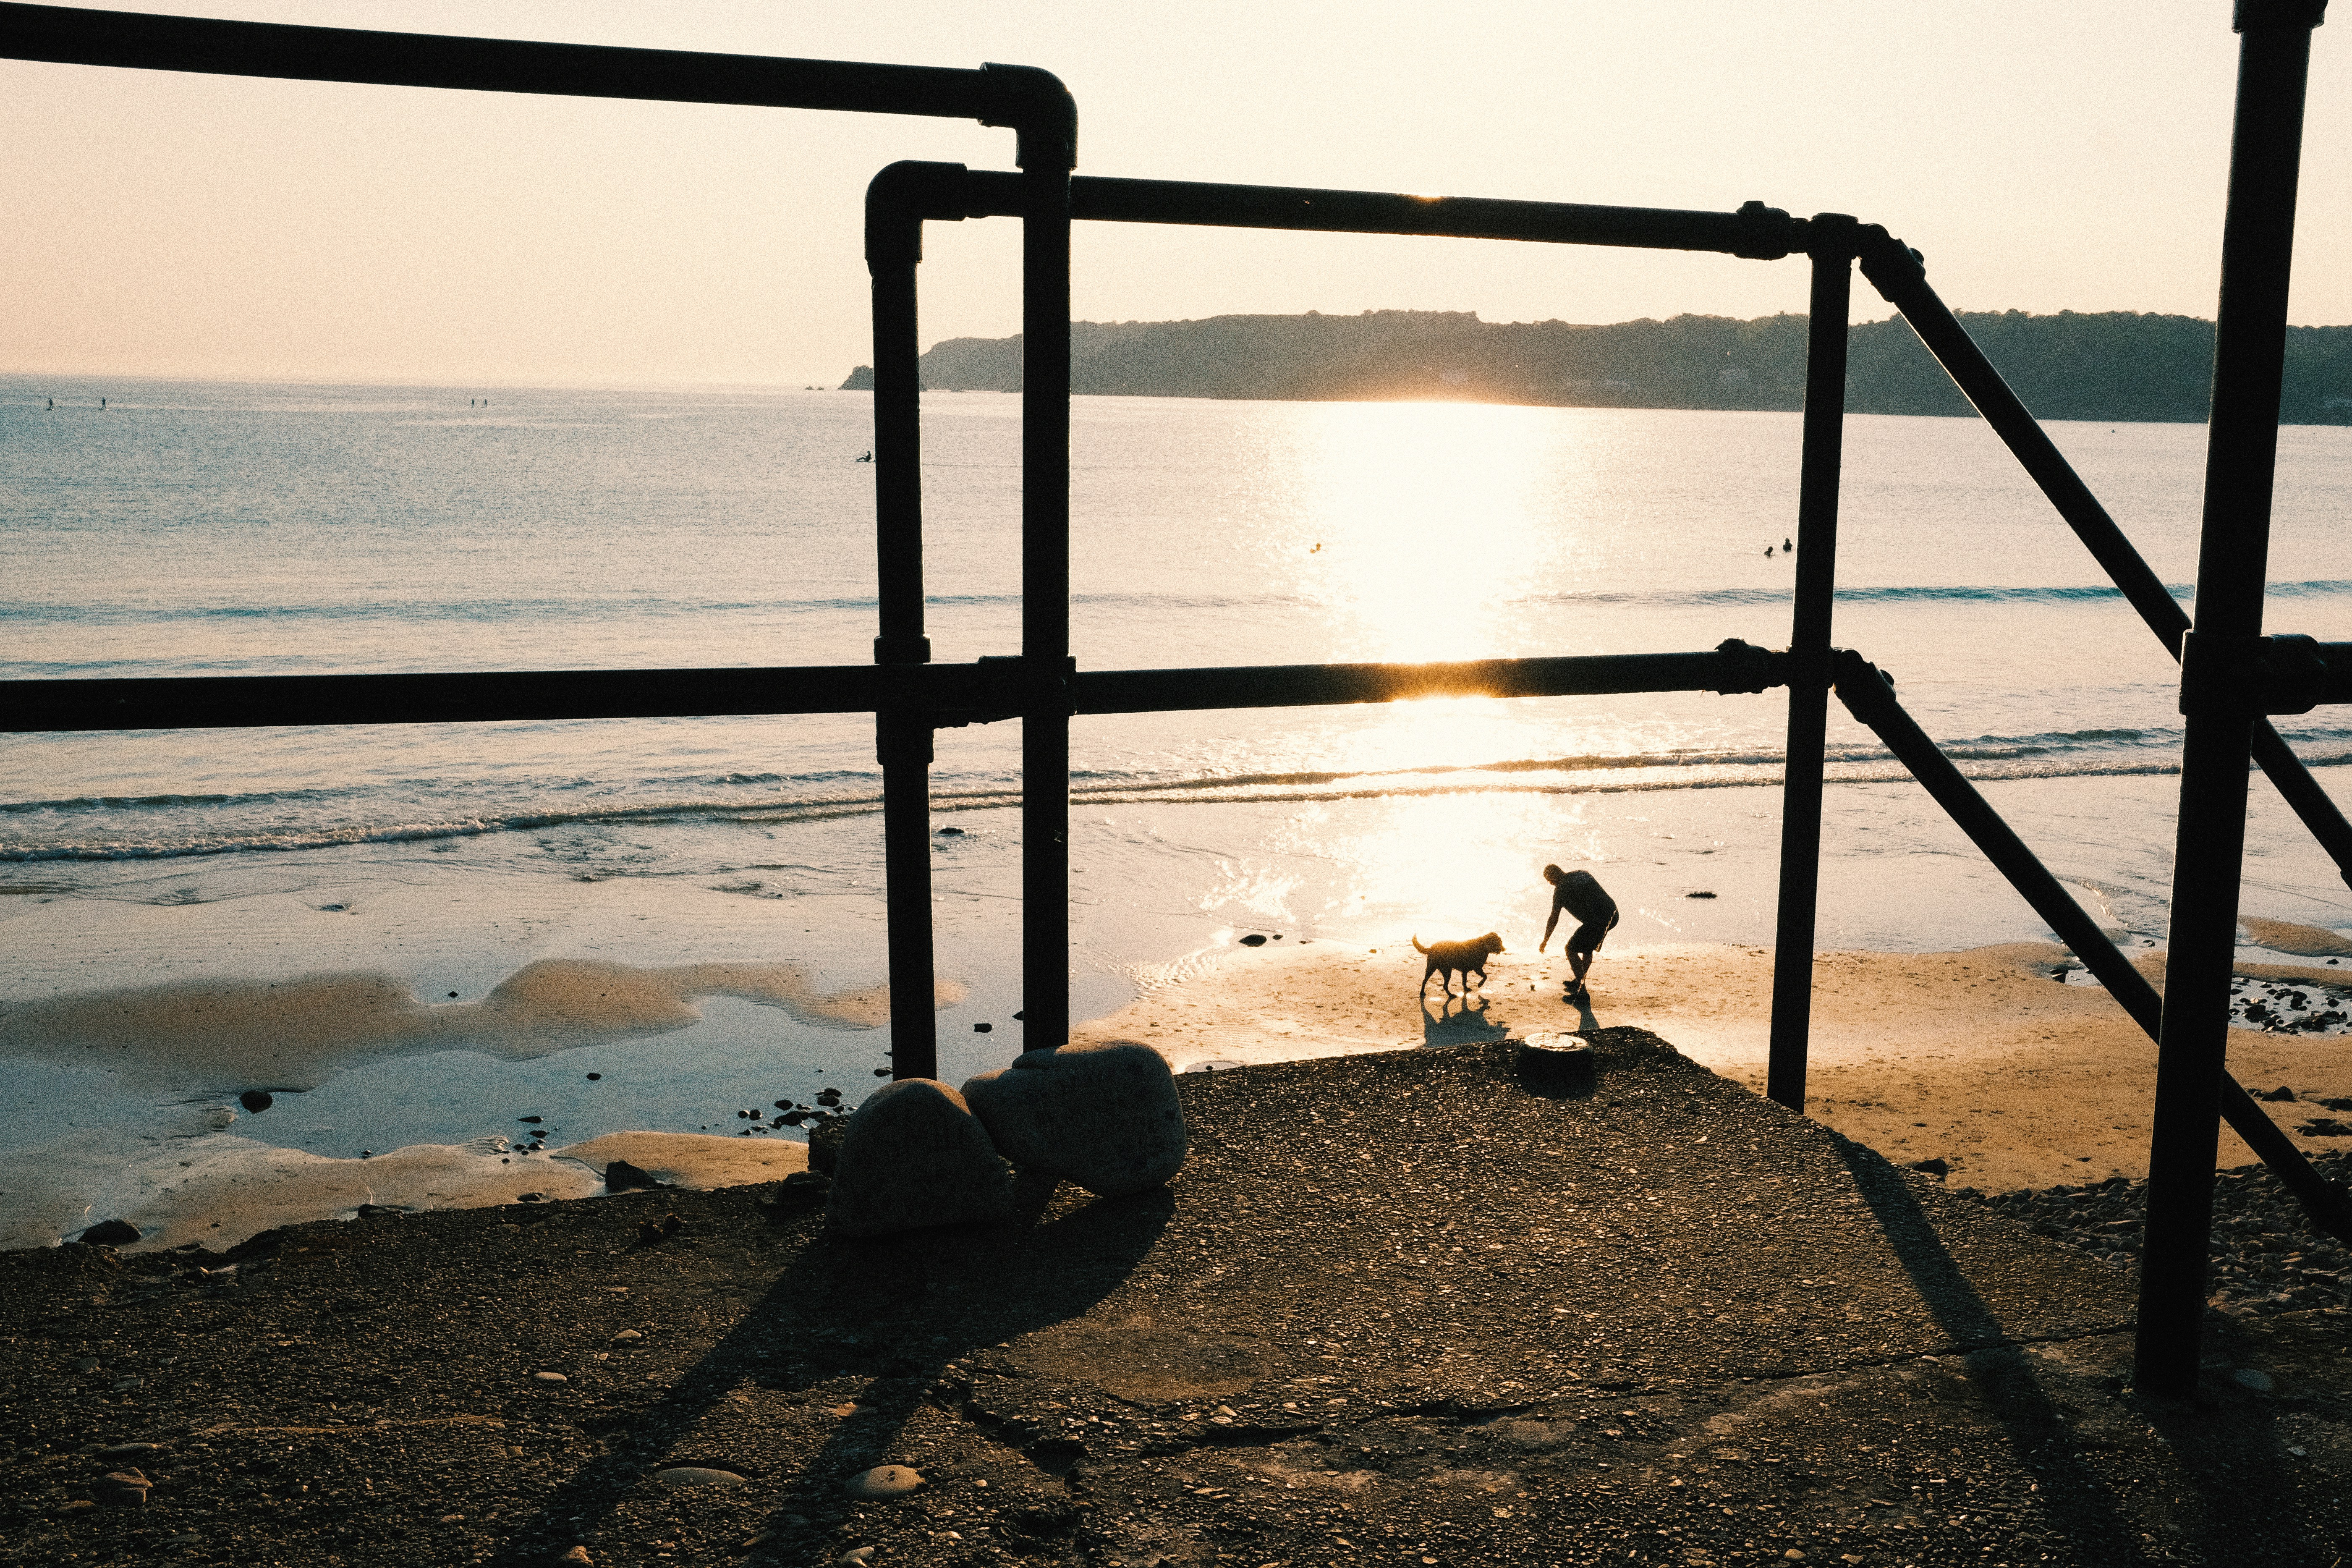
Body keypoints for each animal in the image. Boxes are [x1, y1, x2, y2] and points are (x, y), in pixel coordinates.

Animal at [1411, 931, 1505, 992]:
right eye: (1500, 942)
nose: (1505, 949)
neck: (1483, 946)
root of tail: (1431, 948)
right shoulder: (1477, 968)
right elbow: (1485, 976)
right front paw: (1480, 984)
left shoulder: (1465, 971)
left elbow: (1465, 981)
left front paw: (1466, 989)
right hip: (1440, 970)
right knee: (1439, 984)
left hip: (1438, 969)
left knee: (1435, 983)